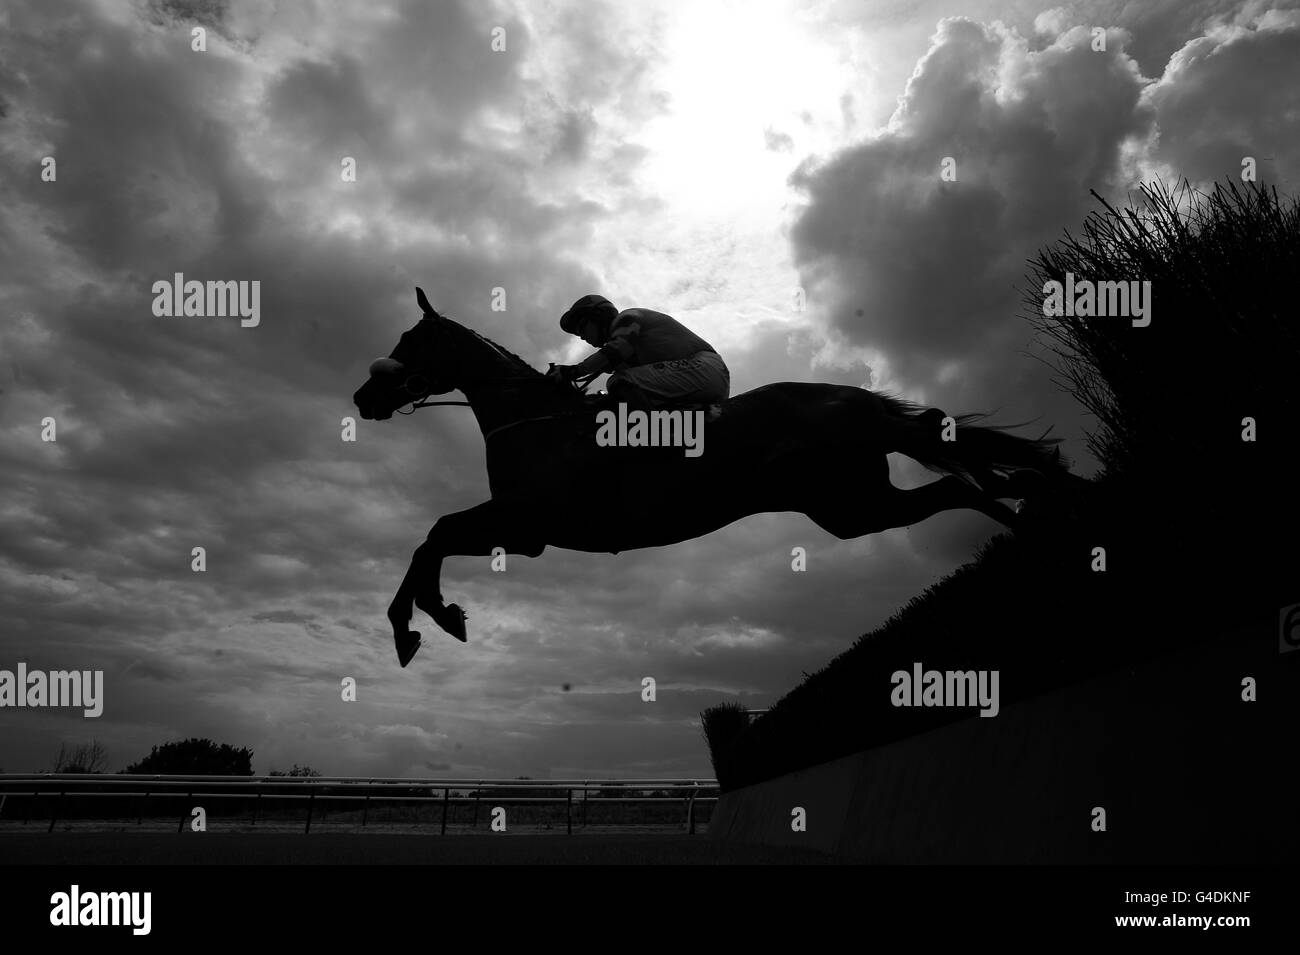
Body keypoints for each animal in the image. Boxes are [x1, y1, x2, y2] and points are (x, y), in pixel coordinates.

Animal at [353, 287, 1066, 670]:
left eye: (411, 342)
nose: (364, 397)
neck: (536, 422)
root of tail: (850, 396)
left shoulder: (526, 524)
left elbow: (435, 534)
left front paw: (421, 622)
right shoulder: (523, 529)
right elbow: (433, 537)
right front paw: (430, 616)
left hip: (851, 503)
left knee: (962, 489)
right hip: (848, 505)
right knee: (968, 486)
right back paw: (1036, 512)